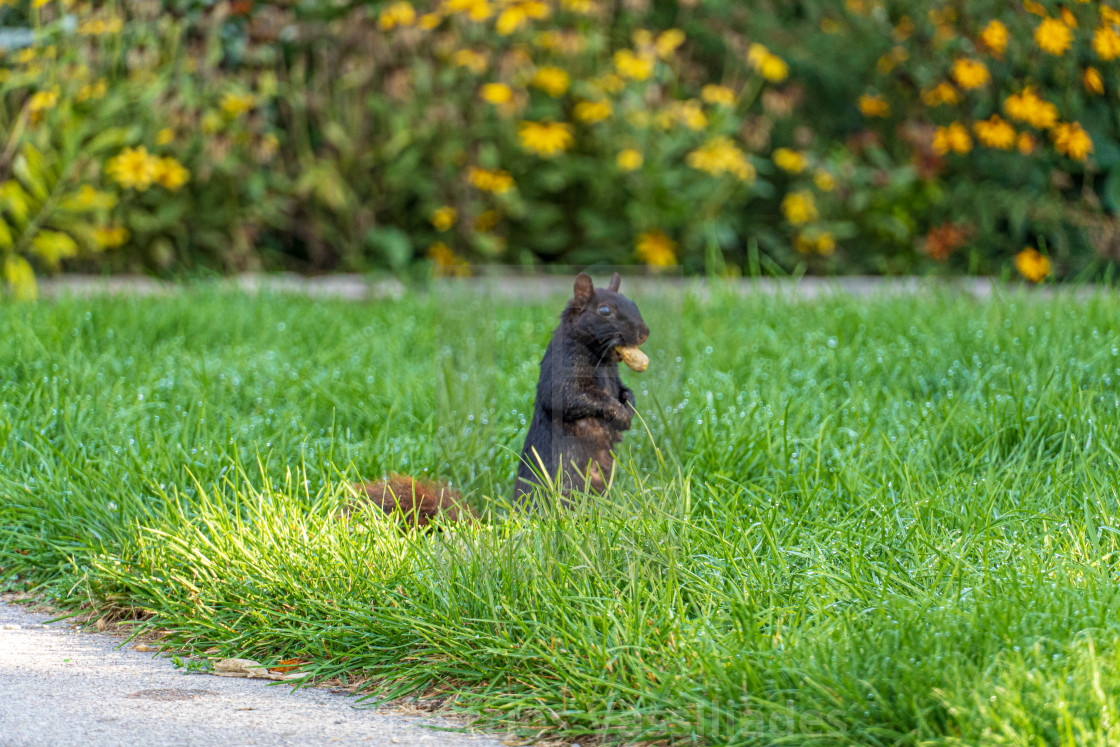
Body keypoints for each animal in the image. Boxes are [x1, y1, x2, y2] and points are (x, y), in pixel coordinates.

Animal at [349, 273, 649, 526]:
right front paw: (618, 413)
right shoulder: (562, 369)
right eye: (605, 311)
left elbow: (622, 390)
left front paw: (630, 405)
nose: (644, 333)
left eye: (634, 303)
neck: (603, 359)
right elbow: (572, 398)